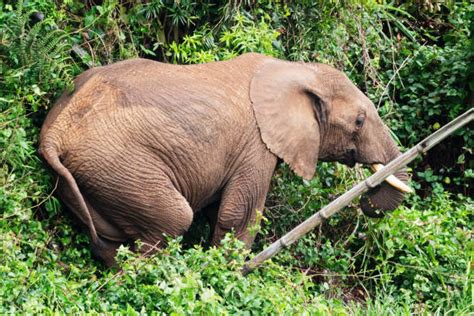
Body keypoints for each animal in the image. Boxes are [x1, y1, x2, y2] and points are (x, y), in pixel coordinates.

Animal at [39, 53, 412, 266]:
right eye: (359, 121)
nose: (366, 201)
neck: (297, 71)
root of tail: (54, 132)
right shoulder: (256, 146)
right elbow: (238, 215)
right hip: (119, 165)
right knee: (174, 221)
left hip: (93, 175)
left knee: (109, 242)